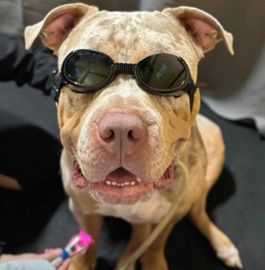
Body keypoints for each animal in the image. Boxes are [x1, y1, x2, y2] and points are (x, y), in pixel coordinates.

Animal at [24, 2, 241, 270]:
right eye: (80, 70)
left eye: (166, 72)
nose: (120, 128)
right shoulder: (83, 210)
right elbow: (89, 242)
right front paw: (81, 261)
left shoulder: (168, 217)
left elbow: (156, 244)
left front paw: (152, 261)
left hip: (210, 156)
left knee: (196, 209)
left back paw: (223, 245)